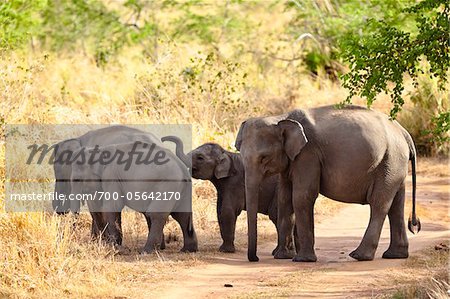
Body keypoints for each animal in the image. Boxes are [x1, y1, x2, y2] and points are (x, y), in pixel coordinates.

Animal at [162, 138, 296, 258]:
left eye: (200, 158)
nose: (163, 139)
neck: (226, 153)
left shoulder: (234, 183)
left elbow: (227, 211)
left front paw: (225, 251)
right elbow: (219, 211)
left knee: (276, 215)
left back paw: (279, 253)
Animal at [234, 105, 420, 262]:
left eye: (264, 158)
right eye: (240, 154)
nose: (255, 258)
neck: (281, 117)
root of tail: (404, 133)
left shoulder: (308, 154)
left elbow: (302, 196)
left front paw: (302, 260)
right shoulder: (291, 160)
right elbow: (285, 198)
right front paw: (282, 256)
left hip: (390, 161)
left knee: (379, 203)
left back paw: (359, 256)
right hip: (394, 164)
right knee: (396, 205)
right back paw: (395, 255)